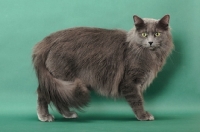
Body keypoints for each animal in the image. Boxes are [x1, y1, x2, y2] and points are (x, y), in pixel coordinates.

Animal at [32, 14, 173, 121]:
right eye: (144, 34)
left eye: (157, 34)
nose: (150, 42)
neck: (149, 54)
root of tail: (47, 41)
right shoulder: (130, 82)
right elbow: (137, 100)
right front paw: (143, 116)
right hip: (62, 78)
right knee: (44, 93)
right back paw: (44, 116)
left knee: (58, 97)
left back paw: (68, 114)